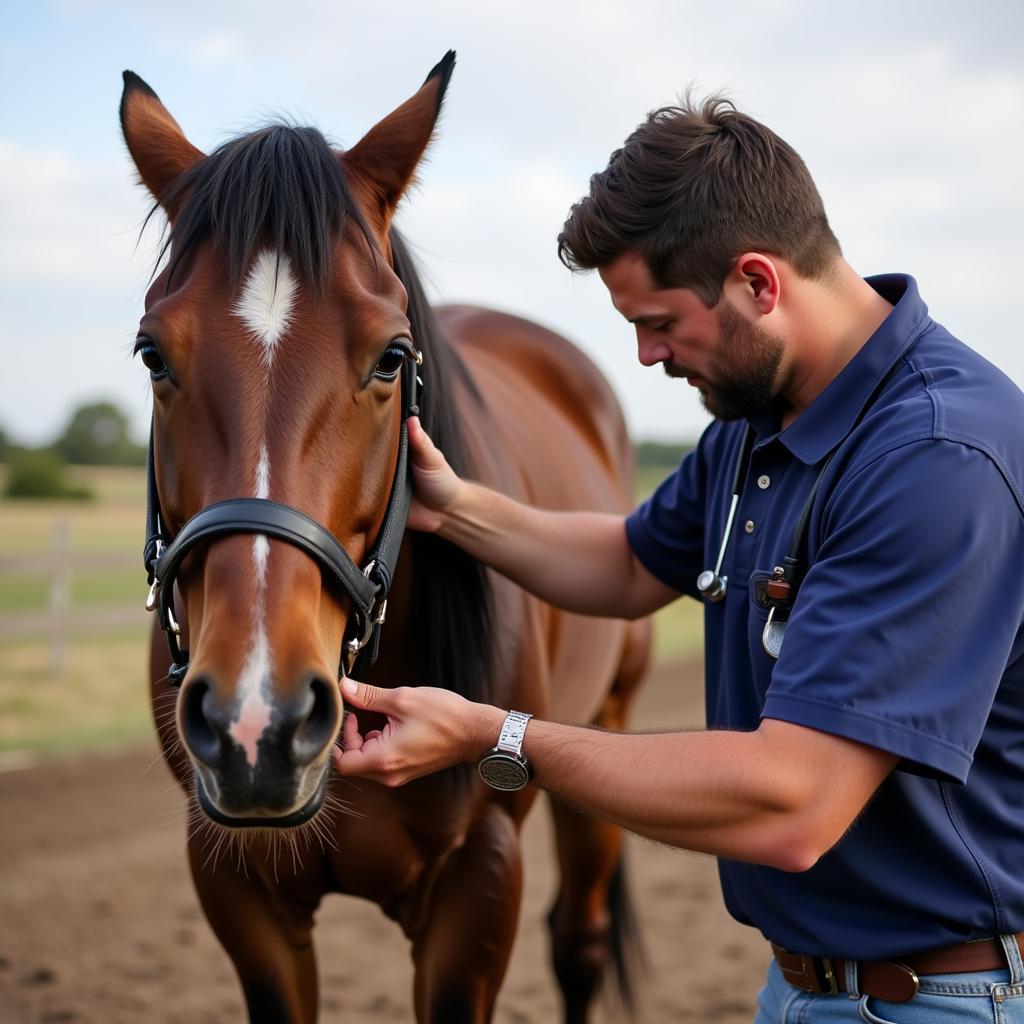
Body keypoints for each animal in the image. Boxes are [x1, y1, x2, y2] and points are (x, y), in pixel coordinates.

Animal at [119, 51, 647, 1019]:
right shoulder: (238, 888)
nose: (258, 723)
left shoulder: (480, 883)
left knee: (579, 942)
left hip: (608, 730)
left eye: (392, 357)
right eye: (153, 355)